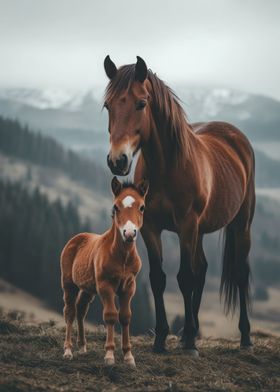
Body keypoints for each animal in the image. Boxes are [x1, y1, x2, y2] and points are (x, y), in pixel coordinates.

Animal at [60, 176, 149, 366]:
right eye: (116, 207)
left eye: (142, 207)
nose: (129, 233)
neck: (122, 257)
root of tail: (76, 237)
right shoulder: (105, 285)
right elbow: (110, 315)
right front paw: (109, 355)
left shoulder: (129, 286)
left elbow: (125, 316)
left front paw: (129, 356)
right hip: (69, 284)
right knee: (70, 311)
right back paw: (68, 350)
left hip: (88, 288)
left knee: (81, 309)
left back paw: (83, 347)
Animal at [103, 56, 256, 356]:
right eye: (108, 105)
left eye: (141, 103)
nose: (117, 160)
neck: (167, 167)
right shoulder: (150, 228)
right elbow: (159, 278)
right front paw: (161, 339)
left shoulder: (186, 225)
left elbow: (185, 277)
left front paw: (188, 345)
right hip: (201, 230)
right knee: (203, 269)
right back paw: (189, 333)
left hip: (240, 225)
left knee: (239, 273)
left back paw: (243, 338)